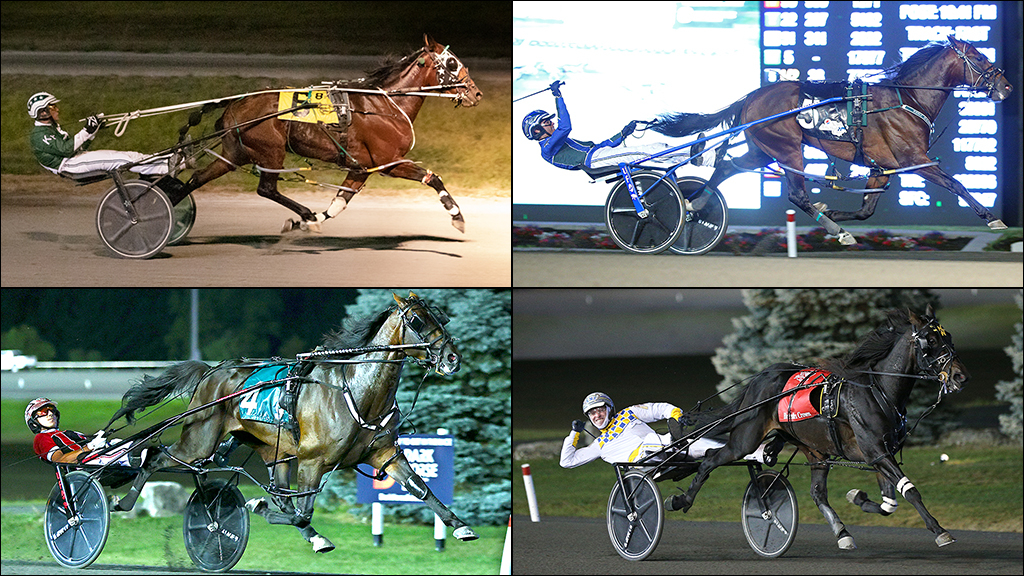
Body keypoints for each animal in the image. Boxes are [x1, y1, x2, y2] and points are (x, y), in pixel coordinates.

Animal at [101, 291, 473, 553]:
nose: (452, 357)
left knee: (281, 493)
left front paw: (458, 525)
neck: (356, 390)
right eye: (416, 319)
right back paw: (124, 502)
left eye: (440, 316)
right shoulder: (312, 460)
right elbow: (301, 510)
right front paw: (258, 504)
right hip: (200, 440)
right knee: (155, 456)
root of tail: (210, 371)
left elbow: (420, 487)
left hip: (272, 449)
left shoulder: (383, 454)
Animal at [174, 34, 481, 231]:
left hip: (235, 153)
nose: (476, 93)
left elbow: (339, 204)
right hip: (269, 151)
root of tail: (235, 103)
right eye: (452, 63)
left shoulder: (361, 169)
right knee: (266, 188)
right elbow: (433, 178)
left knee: (197, 178)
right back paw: (304, 211)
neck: (386, 105)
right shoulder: (390, 163)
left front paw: (308, 222)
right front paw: (457, 215)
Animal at [651, 34, 1011, 242]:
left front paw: (836, 213)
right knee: (796, 195)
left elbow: (867, 209)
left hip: (763, 149)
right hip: (787, 148)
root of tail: (753, 95)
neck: (907, 99)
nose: (1006, 86)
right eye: (979, 57)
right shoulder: (914, 160)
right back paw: (837, 231)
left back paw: (695, 204)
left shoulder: (883, 167)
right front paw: (993, 219)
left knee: (729, 167)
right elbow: (957, 184)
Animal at [667, 307, 970, 549]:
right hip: (746, 438)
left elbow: (889, 503)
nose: (960, 376)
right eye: (932, 340)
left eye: (950, 338)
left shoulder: (881, 453)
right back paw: (682, 500)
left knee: (817, 493)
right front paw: (940, 530)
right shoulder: (876, 452)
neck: (879, 391)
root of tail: (762, 377)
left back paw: (842, 533)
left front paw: (858, 497)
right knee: (710, 460)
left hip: (815, 451)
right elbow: (910, 491)